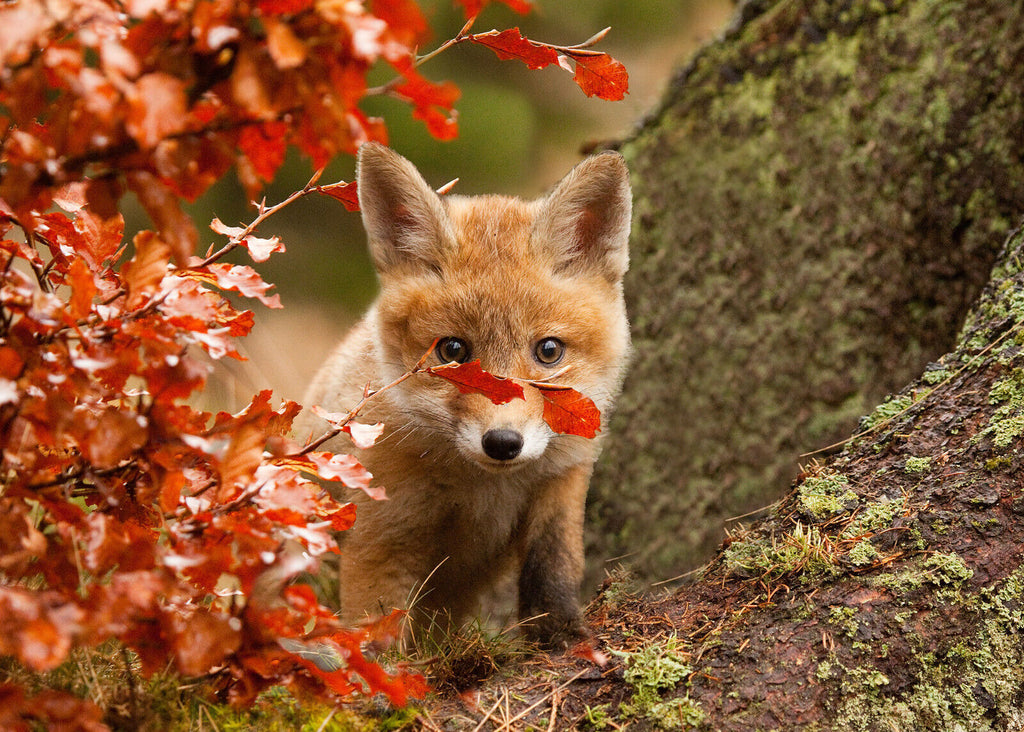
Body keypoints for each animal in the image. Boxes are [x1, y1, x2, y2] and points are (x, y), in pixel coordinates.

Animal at [300, 143, 631, 646]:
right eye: (453, 351)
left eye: (549, 351)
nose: (503, 443)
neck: (484, 492)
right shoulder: (381, 531)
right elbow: (375, 631)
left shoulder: (562, 482)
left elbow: (553, 568)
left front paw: (562, 636)